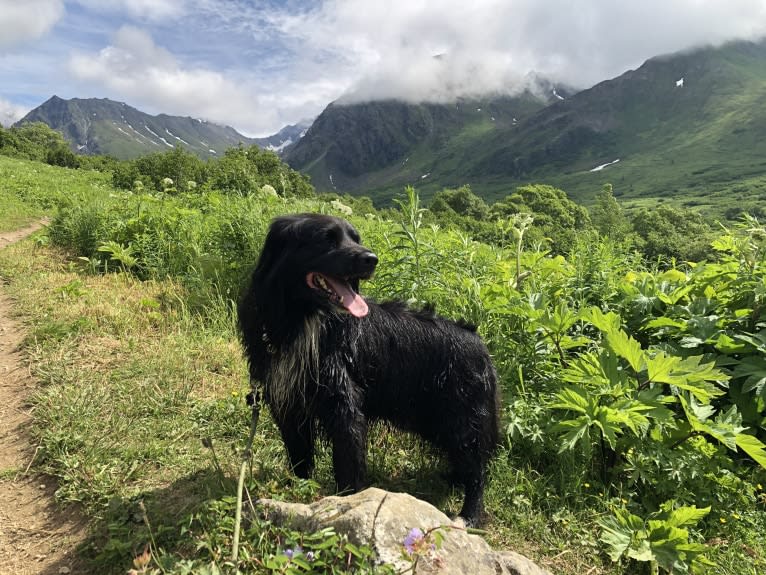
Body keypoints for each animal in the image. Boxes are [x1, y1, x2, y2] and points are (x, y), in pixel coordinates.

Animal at [240, 214, 504, 524]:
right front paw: (298, 490)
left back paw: (468, 516)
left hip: (461, 419)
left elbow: (348, 466)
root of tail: (480, 344)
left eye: (356, 238)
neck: (306, 322)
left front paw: (345, 504)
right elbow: (299, 455)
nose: (372, 259)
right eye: (326, 238)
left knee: (477, 470)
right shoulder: (289, 401)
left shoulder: (344, 405)